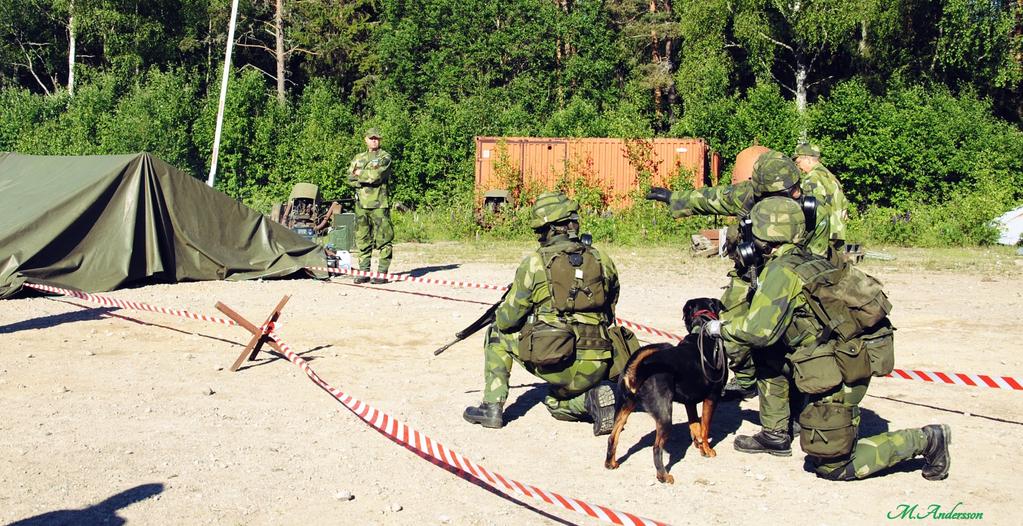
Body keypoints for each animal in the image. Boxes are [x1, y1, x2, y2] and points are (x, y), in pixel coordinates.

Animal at [601, 296, 732, 480]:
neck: (702, 331)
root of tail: (640, 369)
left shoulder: (689, 402)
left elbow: (695, 426)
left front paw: (698, 445)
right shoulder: (712, 397)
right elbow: (705, 427)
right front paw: (707, 449)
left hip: (624, 407)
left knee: (613, 437)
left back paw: (610, 463)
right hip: (664, 416)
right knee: (656, 448)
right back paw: (663, 476)